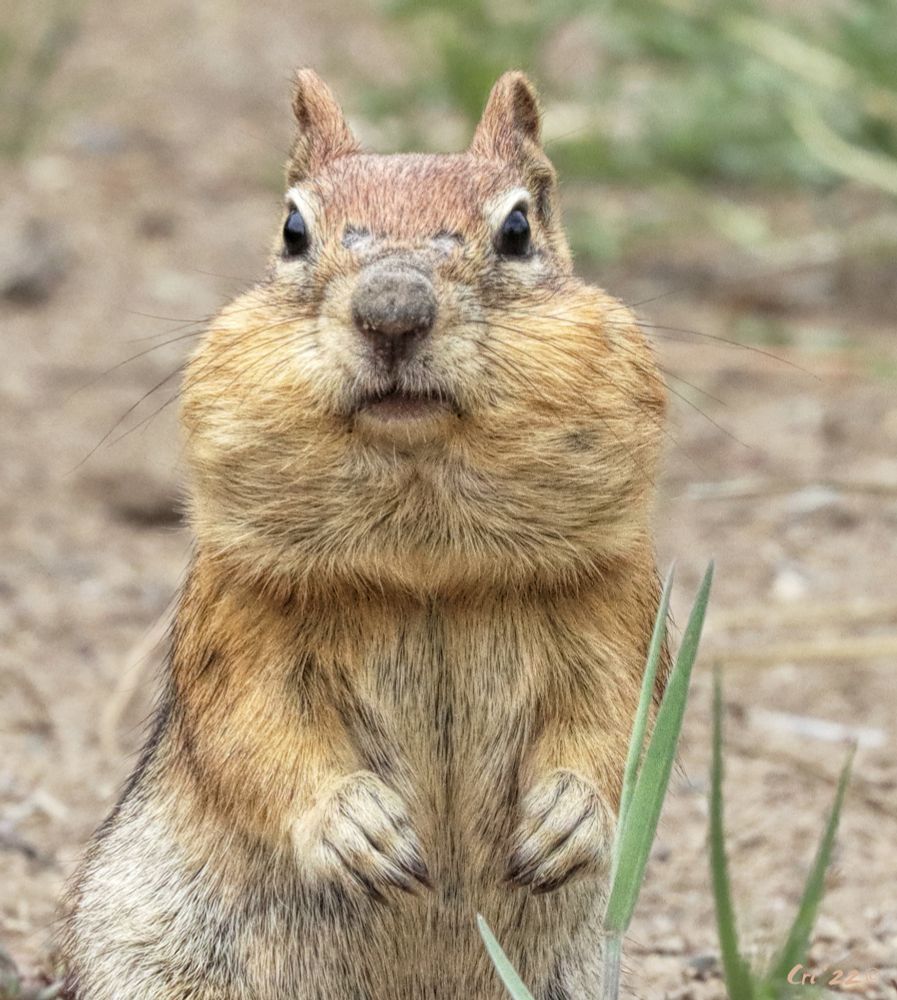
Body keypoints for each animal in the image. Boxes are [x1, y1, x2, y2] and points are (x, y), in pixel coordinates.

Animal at [62, 69, 667, 1000]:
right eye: (292, 229)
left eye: (518, 229)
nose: (392, 312)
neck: (426, 564)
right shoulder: (239, 616)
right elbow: (256, 729)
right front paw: (355, 829)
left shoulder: (618, 603)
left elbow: (618, 719)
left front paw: (568, 816)